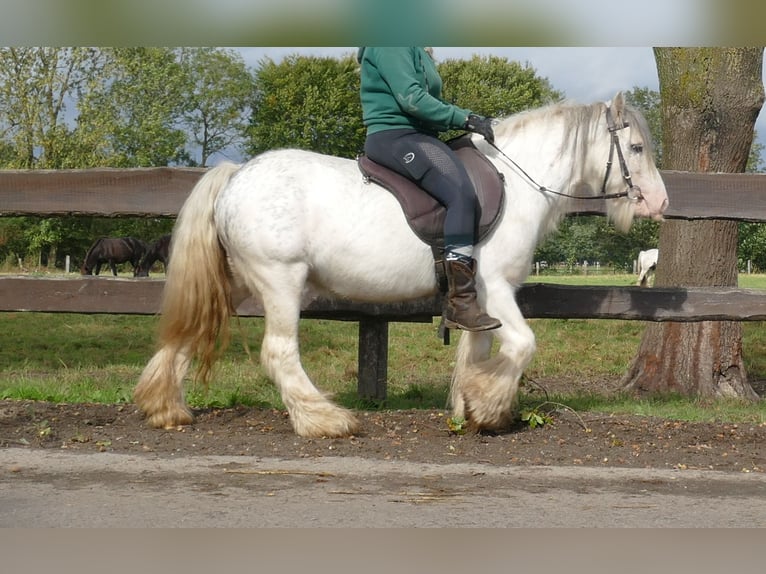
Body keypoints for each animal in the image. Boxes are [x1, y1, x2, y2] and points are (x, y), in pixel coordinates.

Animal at [135, 92, 668, 438]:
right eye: (637, 148)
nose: (661, 203)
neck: (517, 181)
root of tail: (234, 176)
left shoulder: (478, 298)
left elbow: (475, 350)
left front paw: (472, 407)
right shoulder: (495, 286)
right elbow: (522, 345)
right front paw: (488, 402)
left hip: (233, 283)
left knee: (190, 332)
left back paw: (166, 409)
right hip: (281, 281)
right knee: (279, 353)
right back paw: (324, 421)